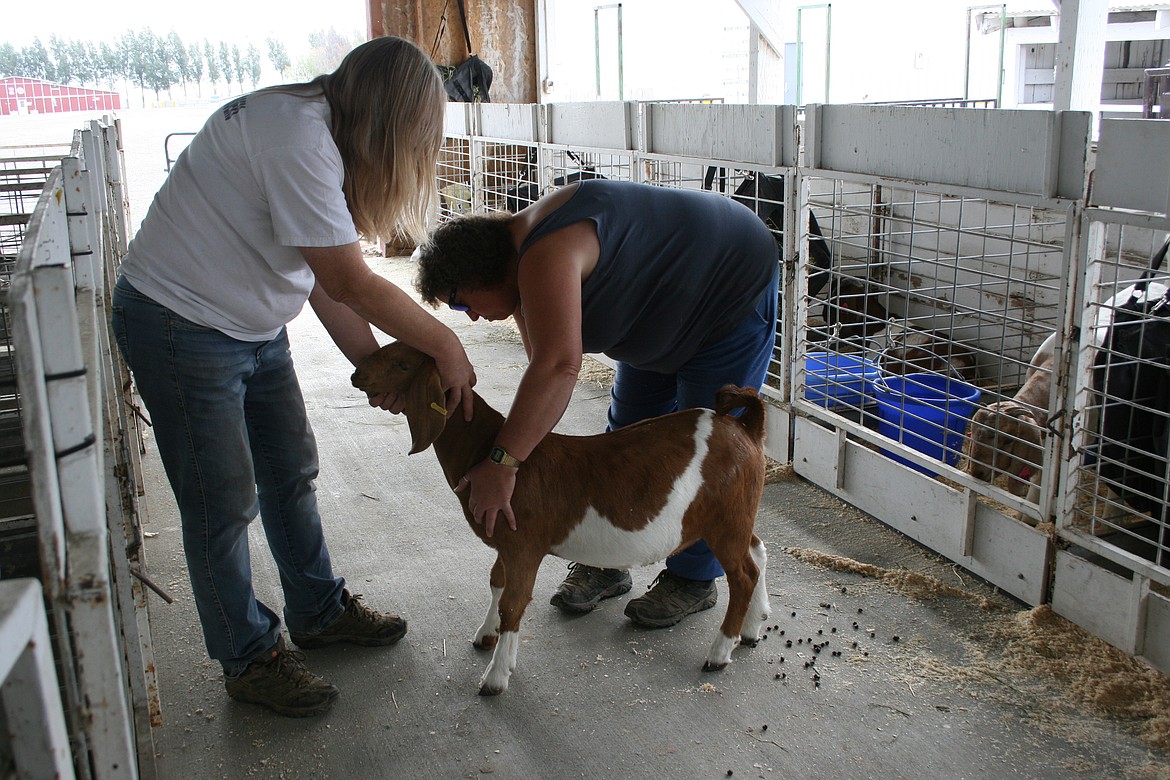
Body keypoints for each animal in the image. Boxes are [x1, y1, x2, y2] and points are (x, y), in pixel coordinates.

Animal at [355, 341, 776, 696]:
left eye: (401, 363)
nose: (357, 374)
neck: (485, 450)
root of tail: (746, 427)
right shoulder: (505, 542)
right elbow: (495, 583)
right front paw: (486, 634)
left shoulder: (524, 544)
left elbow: (513, 602)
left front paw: (496, 676)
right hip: (739, 515)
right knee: (758, 552)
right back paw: (753, 628)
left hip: (726, 520)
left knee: (743, 574)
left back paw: (720, 653)